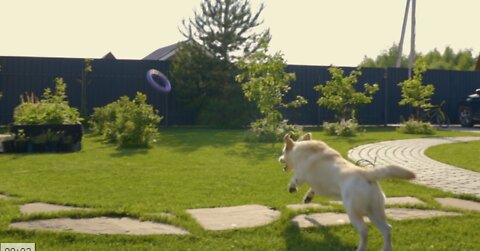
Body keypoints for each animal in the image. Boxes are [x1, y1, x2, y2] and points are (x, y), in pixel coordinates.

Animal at [280, 132, 414, 250]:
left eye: (283, 151)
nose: (279, 159)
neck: (299, 149)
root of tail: (366, 174)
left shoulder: (301, 175)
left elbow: (294, 179)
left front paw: (292, 188)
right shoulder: (317, 184)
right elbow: (312, 189)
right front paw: (308, 197)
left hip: (353, 211)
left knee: (364, 230)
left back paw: (360, 248)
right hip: (375, 212)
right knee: (387, 229)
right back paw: (386, 248)